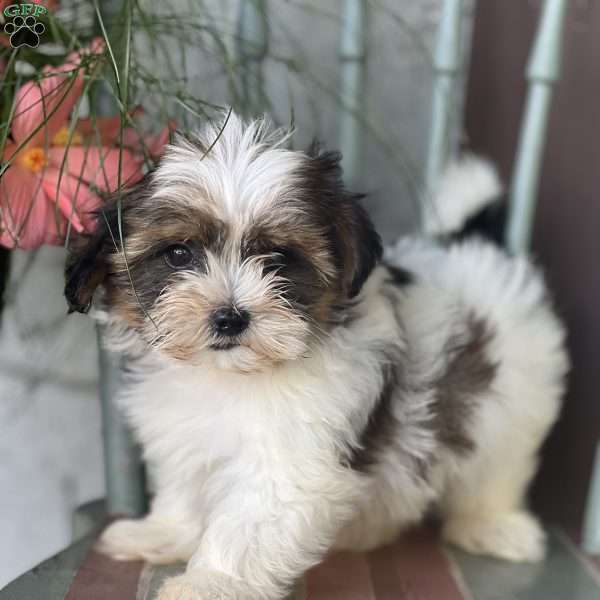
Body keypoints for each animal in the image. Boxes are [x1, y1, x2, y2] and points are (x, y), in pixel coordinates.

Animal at [64, 113, 568, 600]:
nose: (229, 317)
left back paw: (492, 525)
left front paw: (210, 583)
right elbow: (184, 488)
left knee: (497, 465)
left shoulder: (288, 460)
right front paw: (161, 533)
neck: (231, 376)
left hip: (515, 397)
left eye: (277, 257)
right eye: (178, 254)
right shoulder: (183, 433)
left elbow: (246, 524)